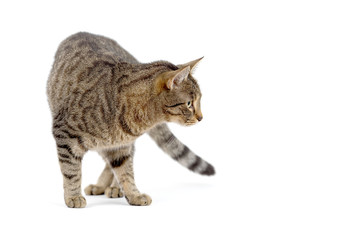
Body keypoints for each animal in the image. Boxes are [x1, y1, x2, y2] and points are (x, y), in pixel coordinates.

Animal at [46, 32, 214, 208]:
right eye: (189, 103)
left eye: (198, 100)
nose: (201, 117)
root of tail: (82, 32)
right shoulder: (65, 135)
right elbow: (71, 172)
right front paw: (73, 197)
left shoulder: (122, 146)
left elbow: (125, 172)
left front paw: (133, 194)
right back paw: (100, 186)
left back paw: (111, 187)